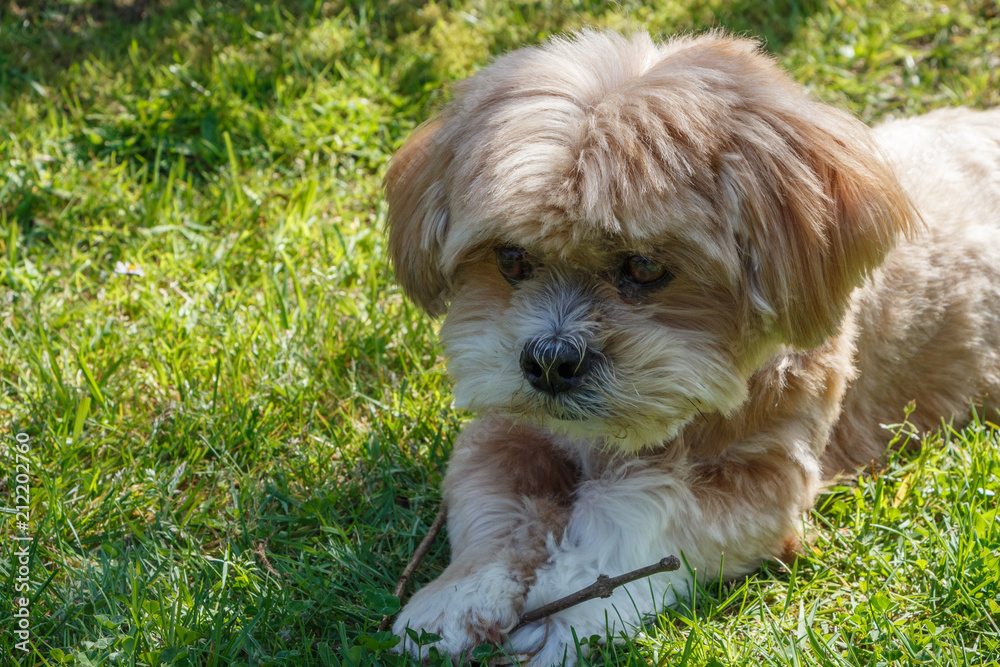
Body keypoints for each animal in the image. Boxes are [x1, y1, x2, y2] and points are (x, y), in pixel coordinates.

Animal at [380, 28, 1000, 664]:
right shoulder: (506, 429)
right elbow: (491, 498)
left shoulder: (768, 481)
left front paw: (566, 610)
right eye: (511, 259)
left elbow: (644, 511)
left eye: (645, 267)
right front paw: (455, 598)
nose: (550, 361)